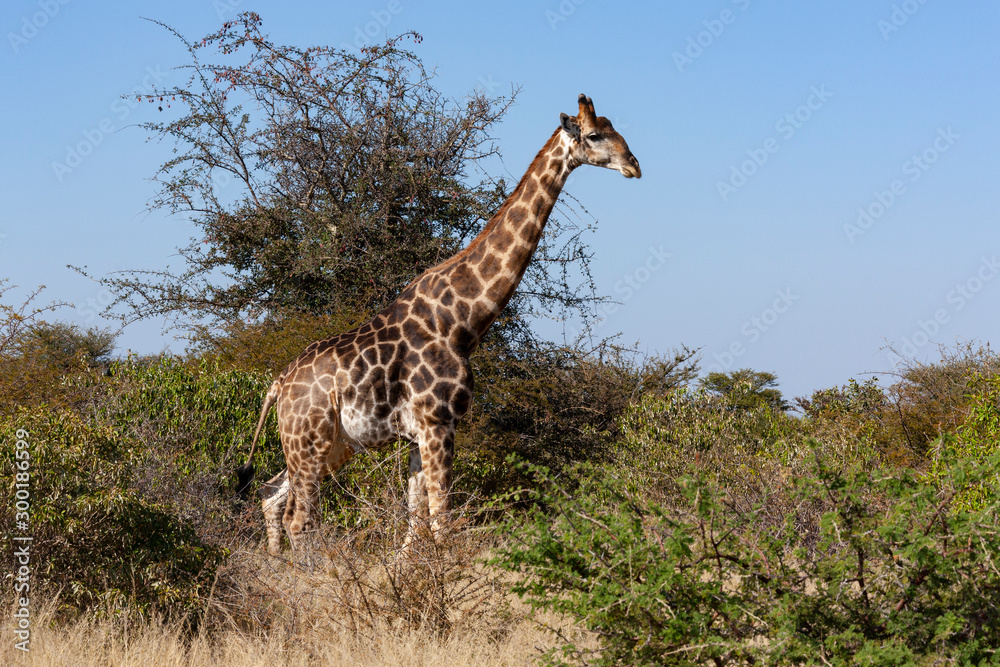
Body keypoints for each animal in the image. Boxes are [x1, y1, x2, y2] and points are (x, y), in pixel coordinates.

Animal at [238, 94, 641, 556]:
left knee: (270, 493)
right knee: (299, 518)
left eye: (614, 130)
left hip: (332, 445)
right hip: (310, 439)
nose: (634, 165)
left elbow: (417, 527)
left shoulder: (419, 434)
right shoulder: (438, 422)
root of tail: (278, 385)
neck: (463, 321)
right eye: (594, 135)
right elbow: (443, 523)